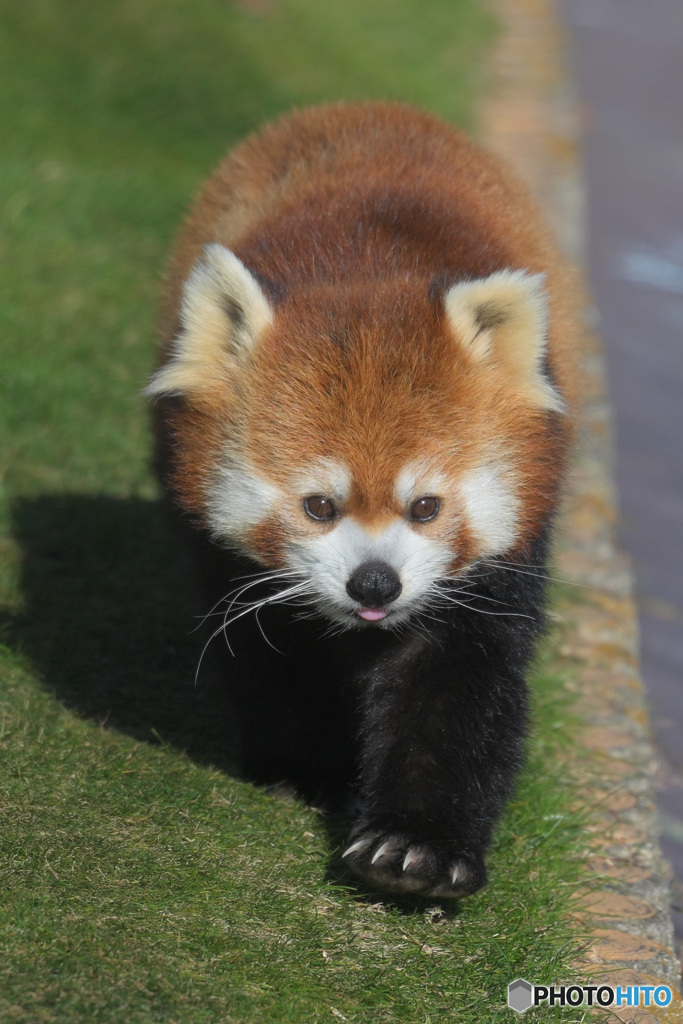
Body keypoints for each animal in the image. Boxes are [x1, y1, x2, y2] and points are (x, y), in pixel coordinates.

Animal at [148, 101, 577, 897]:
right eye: (320, 505)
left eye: (425, 507)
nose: (374, 583)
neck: (370, 267)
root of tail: (377, 108)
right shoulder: (224, 555)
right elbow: (268, 653)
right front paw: (303, 766)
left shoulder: (497, 568)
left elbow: (456, 689)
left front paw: (414, 849)